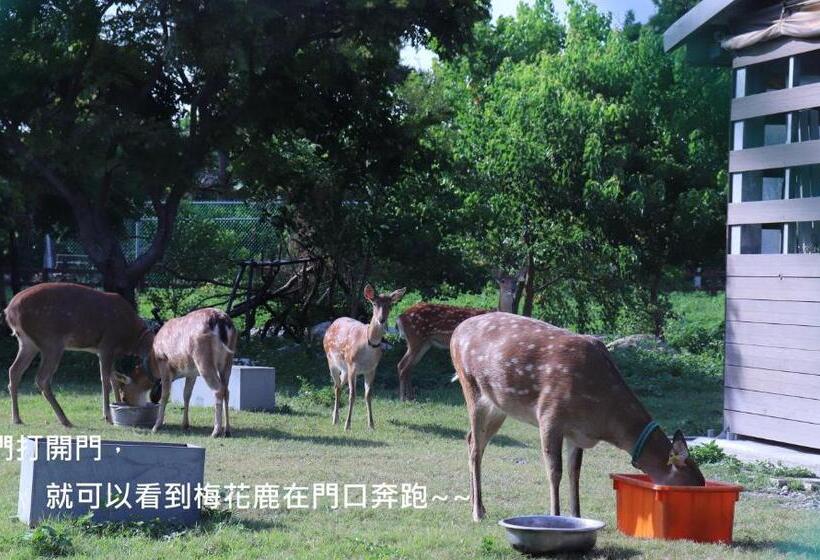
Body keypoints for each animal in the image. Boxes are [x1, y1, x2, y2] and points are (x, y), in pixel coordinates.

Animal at [3, 282, 155, 427]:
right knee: (41, 378)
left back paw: (17, 418)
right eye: (127, 395)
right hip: (51, 341)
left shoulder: (109, 352)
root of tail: (9, 311)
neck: (131, 338)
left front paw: (114, 408)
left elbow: (113, 378)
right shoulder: (107, 345)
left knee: (14, 370)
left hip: (27, 342)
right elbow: (105, 380)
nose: (127, 401)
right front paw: (108, 416)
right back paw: (65, 420)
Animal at [323, 284, 406, 430]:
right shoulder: (352, 366)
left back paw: (335, 416)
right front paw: (347, 425)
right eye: (374, 303)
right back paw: (335, 420)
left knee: (339, 385)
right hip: (331, 360)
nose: (382, 320)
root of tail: (332, 324)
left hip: (345, 369)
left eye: (390, 305)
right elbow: (352, 395)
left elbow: (368, 395)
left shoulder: (372, 369)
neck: (368, 344)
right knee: (336, 386)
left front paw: (371, 425)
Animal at [395, 270, 524, 401]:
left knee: (409, 367)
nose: (512, 289)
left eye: (516, 281)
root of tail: (400, 318)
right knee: (402, 365)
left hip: (424, 343)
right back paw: (402, 398)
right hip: (415, 338)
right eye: (502, 281)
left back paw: (411, 396)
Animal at [450, 312, 705, 522]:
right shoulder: (549, 415)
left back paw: (478, 505)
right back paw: (477, 512)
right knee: (476, 448)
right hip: (471, 386)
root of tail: (456, 332)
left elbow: (575, 473)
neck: (602, 419)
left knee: (471, 438)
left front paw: (577, 516)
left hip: (498, 407)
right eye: (689, 487)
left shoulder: (577, 433)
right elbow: (555, 471)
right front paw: (554, 516)